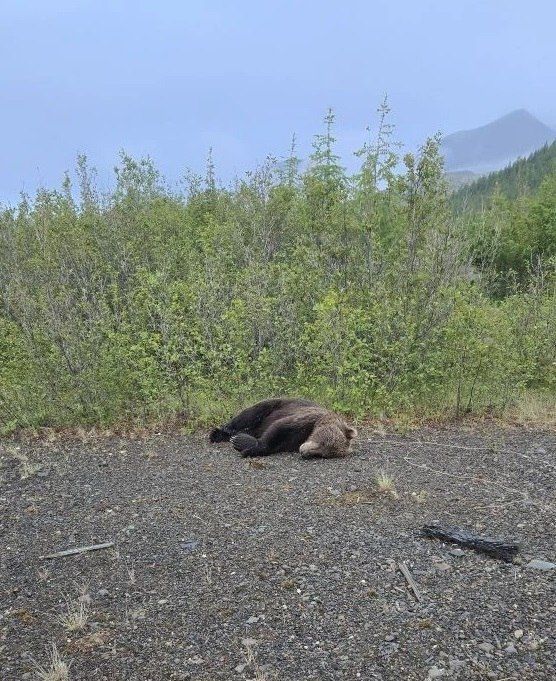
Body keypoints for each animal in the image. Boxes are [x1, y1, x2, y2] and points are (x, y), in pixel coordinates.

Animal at [209, 398, 357, 458]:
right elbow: (278, 428)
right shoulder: (305, 419)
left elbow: (276, 444)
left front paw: (243, 443)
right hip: (277, 404)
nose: (304, 452)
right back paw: (219, 433)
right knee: (250, 414)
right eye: (323, 442)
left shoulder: (293, 442)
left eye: (322, 455)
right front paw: (243, 444)